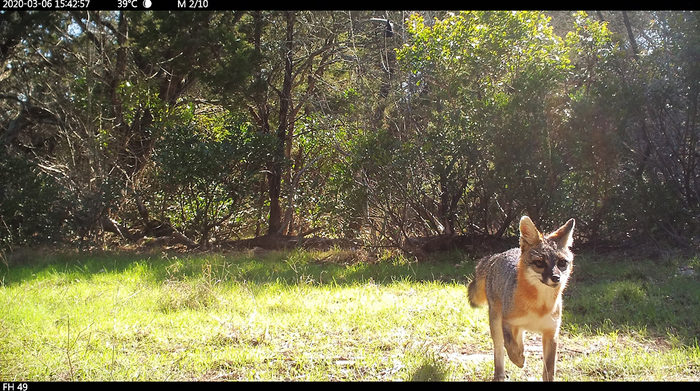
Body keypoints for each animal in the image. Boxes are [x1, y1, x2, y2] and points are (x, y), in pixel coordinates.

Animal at [470, 216, 576, 382]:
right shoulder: (507, 321)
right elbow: (510, 346)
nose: (556, 278)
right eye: (539, 263)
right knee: (499, 348)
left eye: (562, 263)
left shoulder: (551, 333)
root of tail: (499, 255)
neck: (539, 307)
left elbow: (549, 371)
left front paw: (522, 356)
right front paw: (519, 360)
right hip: (495, 322)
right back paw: (500, 373)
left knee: (519, 339)